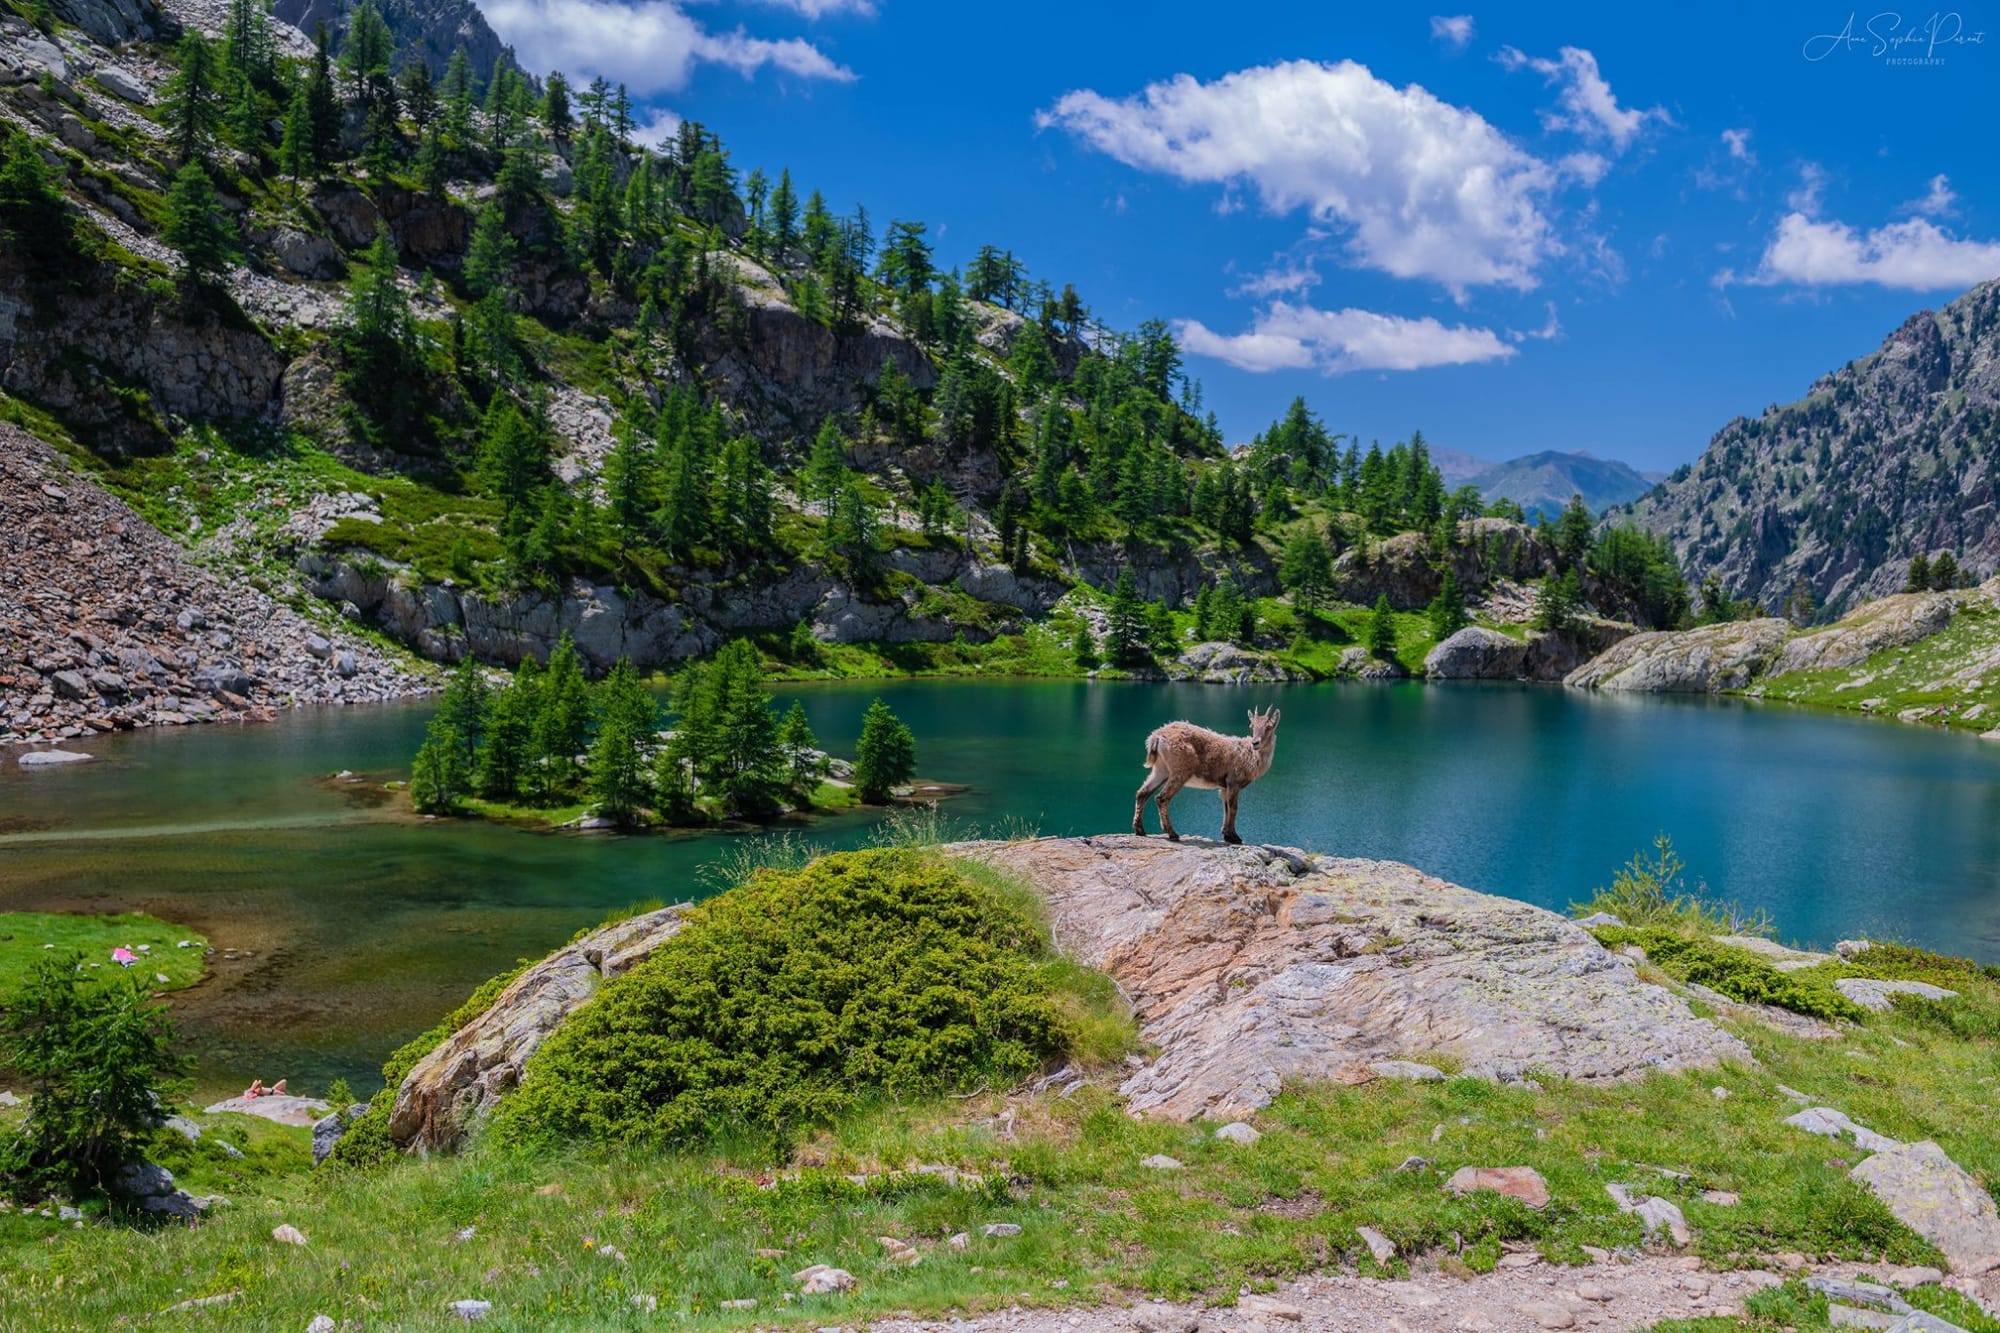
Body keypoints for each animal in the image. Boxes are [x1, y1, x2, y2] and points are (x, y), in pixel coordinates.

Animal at [1133, 706, 1281, 845]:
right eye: (1251, 727)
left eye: (1269, 727)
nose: (1255, 743)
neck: (1251, 757)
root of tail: (1156, 737)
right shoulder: (1234, 782)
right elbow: (1233, 807)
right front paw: (1235, 837)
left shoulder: (1224, 786)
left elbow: (1226, 807)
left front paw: (1227, 835)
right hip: (1180, 769)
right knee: (1161, 798)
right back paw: (1172, 833)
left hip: (1161, 769)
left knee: (1142, 793)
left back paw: (1140, 830)